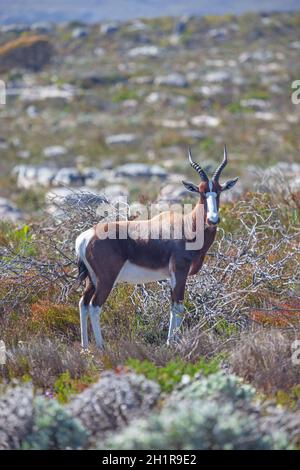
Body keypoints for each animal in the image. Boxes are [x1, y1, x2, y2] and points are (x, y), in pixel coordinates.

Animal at [76, 147, 238, 348]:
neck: (186, 225)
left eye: (219, 191)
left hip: (92, 280)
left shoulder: (171, 276)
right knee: (94, 306)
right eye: (201, 192)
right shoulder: (180, 271)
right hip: (106, 280)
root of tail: (86, 237)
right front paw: (173, 344)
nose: (213, 219)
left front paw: (171, 342)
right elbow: (179, 305)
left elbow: (173, 306)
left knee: (83, 303)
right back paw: (101, 347)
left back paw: (85, 348)